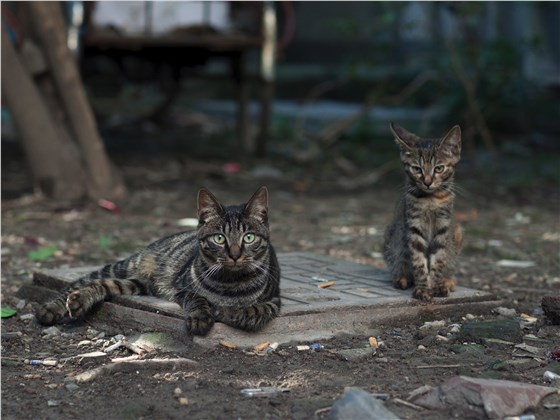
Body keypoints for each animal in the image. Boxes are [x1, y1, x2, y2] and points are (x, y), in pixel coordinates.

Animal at [36, 186, 280, 334]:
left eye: (248, 237)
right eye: (219, 238)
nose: (235, 255)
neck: (230, 284)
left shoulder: (275, 300)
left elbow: (257, 310)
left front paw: (236, 312)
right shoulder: (181, 288)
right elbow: (198, 299)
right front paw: (201, 316)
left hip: (136, 284)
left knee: (103, 285)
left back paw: (79, 300)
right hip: (127, 267)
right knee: (82, 282)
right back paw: (53, 307)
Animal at [382, 123, 462, 300]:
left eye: (439, 168)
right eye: (417, 169)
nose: (427, 182)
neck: (430, 199)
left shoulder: (443, 225)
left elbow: (439, 258)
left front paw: (437, 285)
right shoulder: (414, 225)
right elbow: (418, 260)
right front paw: (423, 289)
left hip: (458, 231)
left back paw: (448, 280)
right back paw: (402, 278)